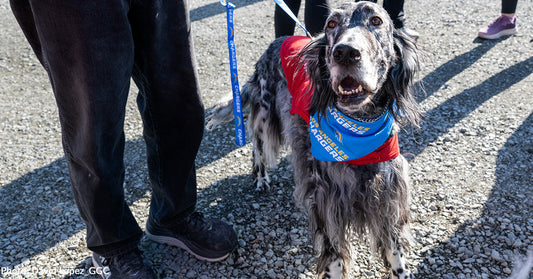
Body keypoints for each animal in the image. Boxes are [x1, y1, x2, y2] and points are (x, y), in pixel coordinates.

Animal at [207, 1, 420, 278]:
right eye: (331, 23)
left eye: (376, 20)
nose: (346, 53)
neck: (357, 127)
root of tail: (277, 41)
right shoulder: (326, 202)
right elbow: (335, 260)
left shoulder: (388, 193)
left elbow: (395, 253)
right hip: (265, 112)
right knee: (257, 144)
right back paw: (261, 178)